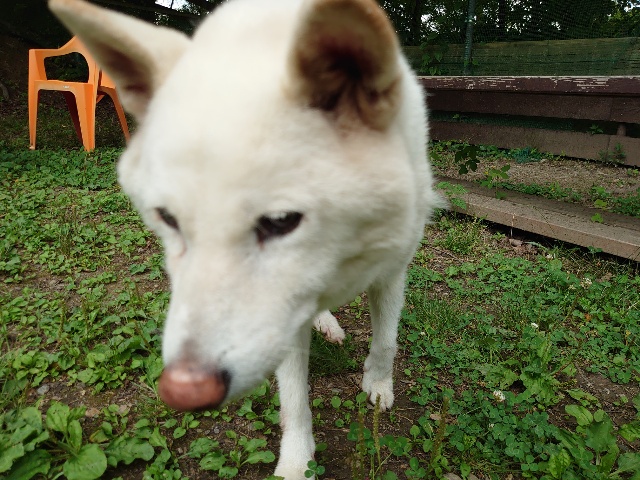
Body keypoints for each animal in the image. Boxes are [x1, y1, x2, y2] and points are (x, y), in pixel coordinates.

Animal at [49, 0, 441, 477]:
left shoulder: (391, 269)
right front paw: (296, 461)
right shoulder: (284, 317)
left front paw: (379, 384)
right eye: (168, 218)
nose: (182, 392)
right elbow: (294, 400)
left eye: (280, 221)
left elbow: (386, 340)